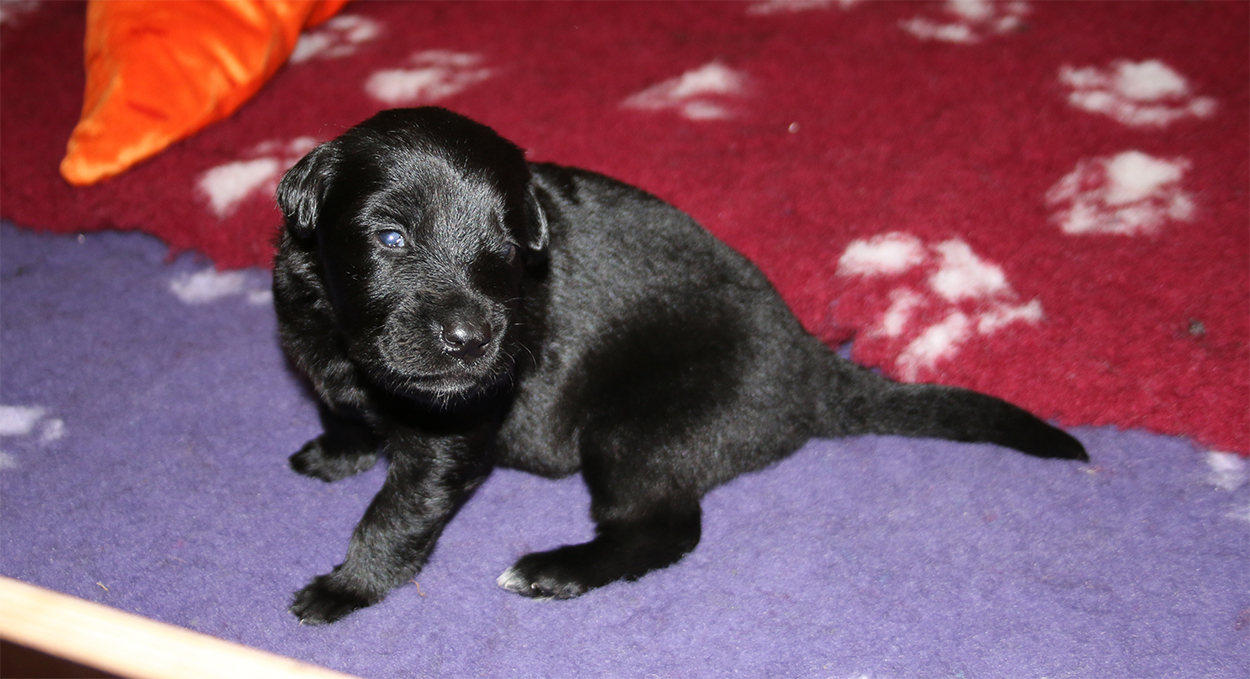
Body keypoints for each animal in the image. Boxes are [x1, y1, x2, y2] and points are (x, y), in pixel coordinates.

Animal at [272, 107, 1087, 625]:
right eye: (391, 237)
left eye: (505, 247)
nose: (474, 339)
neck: (350, 340)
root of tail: (813, 366)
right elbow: (341, 408)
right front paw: (337, 449)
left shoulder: (453, 431)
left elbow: (397, 514)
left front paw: (346, 588)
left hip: (636, 429)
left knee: (667, 526)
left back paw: (554, 569)